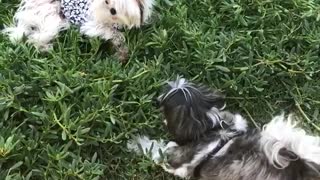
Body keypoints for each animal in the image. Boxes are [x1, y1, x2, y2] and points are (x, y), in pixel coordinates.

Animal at [2, 0, 154, 62]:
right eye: (106, 1)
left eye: (122, 7)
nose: (112, 10)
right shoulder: (91, 25)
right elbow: (114, 34)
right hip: (52, 22)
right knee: (35, 38)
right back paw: (46, 48)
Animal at [127, 77, 320, 180]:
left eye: (164, 102)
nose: (155, 99)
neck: (210, 127)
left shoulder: (176, 159)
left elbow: (154, 148)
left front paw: (135, 143)